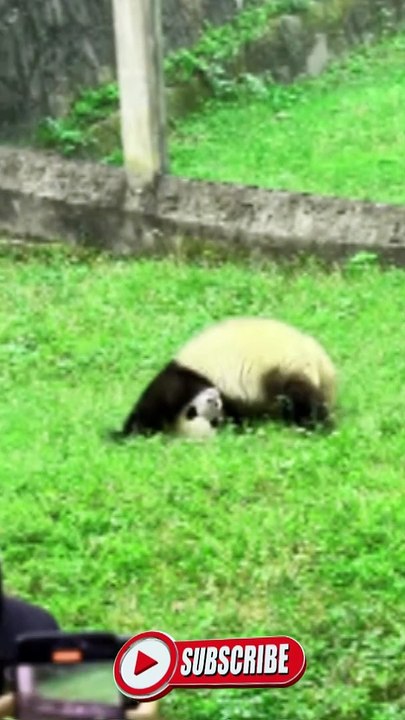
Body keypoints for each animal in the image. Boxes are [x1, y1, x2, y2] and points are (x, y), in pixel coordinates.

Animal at [117, 316, 337, 439]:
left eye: (192, 412)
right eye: (214, 422)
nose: (214, 401)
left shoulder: (183, 381)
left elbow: (153, 405)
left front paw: (123, 434)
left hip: (287, 364)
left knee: (301, 397)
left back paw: (317, 427)